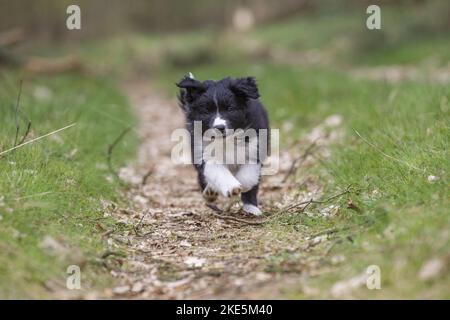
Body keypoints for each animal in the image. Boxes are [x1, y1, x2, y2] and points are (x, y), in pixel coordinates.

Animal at [175, 74, 268, 216]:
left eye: (230, 108)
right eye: (206, 111)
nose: (220, 127)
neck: (226, 141)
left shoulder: (255, 145)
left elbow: (249, 174)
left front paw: (242, 185)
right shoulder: (203, 151)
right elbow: (217, 171)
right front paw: (232, 187)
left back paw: (252, 208)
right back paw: (210, 192)